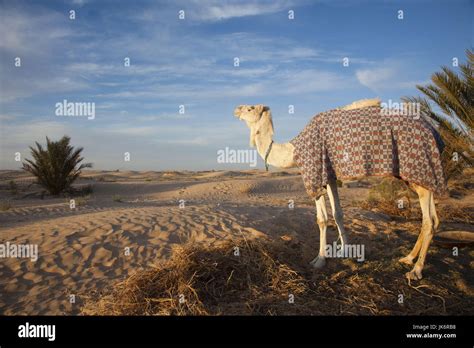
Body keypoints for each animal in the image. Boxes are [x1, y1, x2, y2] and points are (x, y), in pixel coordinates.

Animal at [235, 100, 442, 280]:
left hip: (420, 169)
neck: (294, 151)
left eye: (250, 108)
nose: (236, 109)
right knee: (434, 218)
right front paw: (345, 250)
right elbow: (338, 214)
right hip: (414, 178)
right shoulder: (330, 176)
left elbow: (322, 219)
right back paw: (408, 258)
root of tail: (433, 130)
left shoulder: (315, 173)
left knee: (429, 221)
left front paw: (319, 260)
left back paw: (416, 270)